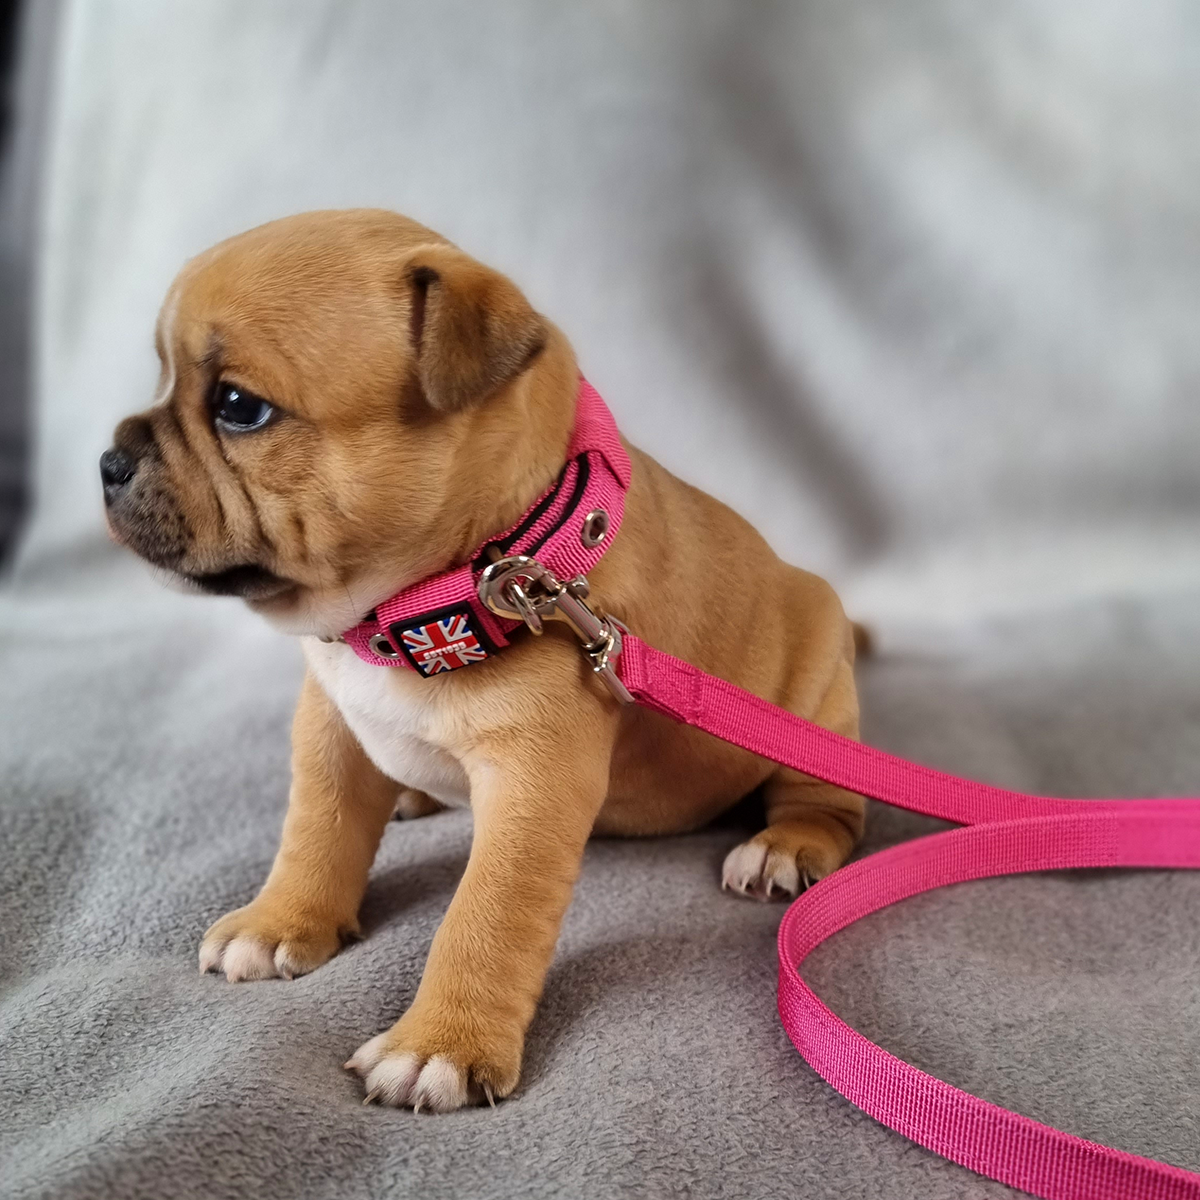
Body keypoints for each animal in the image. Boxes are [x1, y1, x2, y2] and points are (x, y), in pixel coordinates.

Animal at [103, 208, 864, 1113]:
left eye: (237, 407)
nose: (107, 462)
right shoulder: (330, 727)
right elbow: (315, 829)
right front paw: (279, 919)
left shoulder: (533, 780)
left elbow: (485, 914)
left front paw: (440, 1045)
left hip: (816, 695)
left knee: (827, 800)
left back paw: (786, 845)